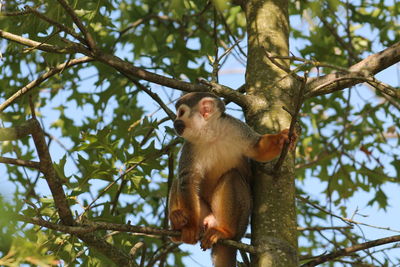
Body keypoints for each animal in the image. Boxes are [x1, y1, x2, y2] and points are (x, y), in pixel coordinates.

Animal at [168, 92, 294, 267]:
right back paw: (178, 224)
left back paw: (226, 232)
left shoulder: (235, 127)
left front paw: (281, 139)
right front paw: (190, 228)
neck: (211, 134)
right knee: (178, 181)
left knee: (233, 176)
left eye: (181, 113)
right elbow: (188, 181)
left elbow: (257, 149)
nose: (175, 122)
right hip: (203, 214)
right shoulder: (189, 147)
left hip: (240, 222)